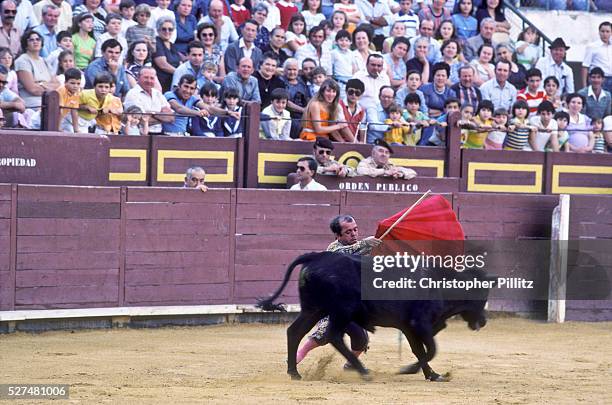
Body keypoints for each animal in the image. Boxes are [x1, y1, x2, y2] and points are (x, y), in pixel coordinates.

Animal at [256, 251, 494, 380]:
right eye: (482, 294)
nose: (483, 321)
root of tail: (318, 256)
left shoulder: (409, 327)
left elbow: (420, 350)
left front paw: (432, 375)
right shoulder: (420, 324)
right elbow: (431, 349)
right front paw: (410, 370)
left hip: (313, 309)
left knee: (295, 332)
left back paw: (294, 372)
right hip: (341, 311)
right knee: (333, 336)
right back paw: (363, 372)